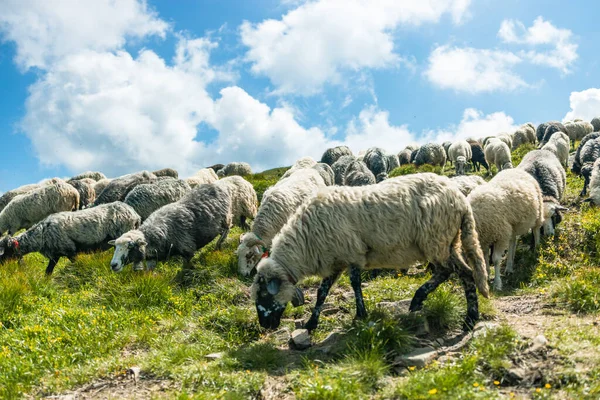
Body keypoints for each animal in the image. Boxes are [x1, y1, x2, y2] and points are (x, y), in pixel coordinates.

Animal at [0, 203, 141, 276]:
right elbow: (48, 271)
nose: (1, 267)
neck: (42, 235)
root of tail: (135, 214)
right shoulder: (55, 255)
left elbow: (77, 264)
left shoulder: (70, 251)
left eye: (3, 252)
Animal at [251, 172, 490, 332]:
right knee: (465, 273)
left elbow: (355, 284)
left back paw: (426, 303)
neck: (306, 242)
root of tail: (460, 199)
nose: (266, 326)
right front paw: (311, 324)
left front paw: (360, 315)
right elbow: (322, 292)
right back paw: (468, 317)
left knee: (448, 272)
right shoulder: (336, 259)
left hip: (435, 239)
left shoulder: (352, 254)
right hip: (449, 242)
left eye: (264, 294)